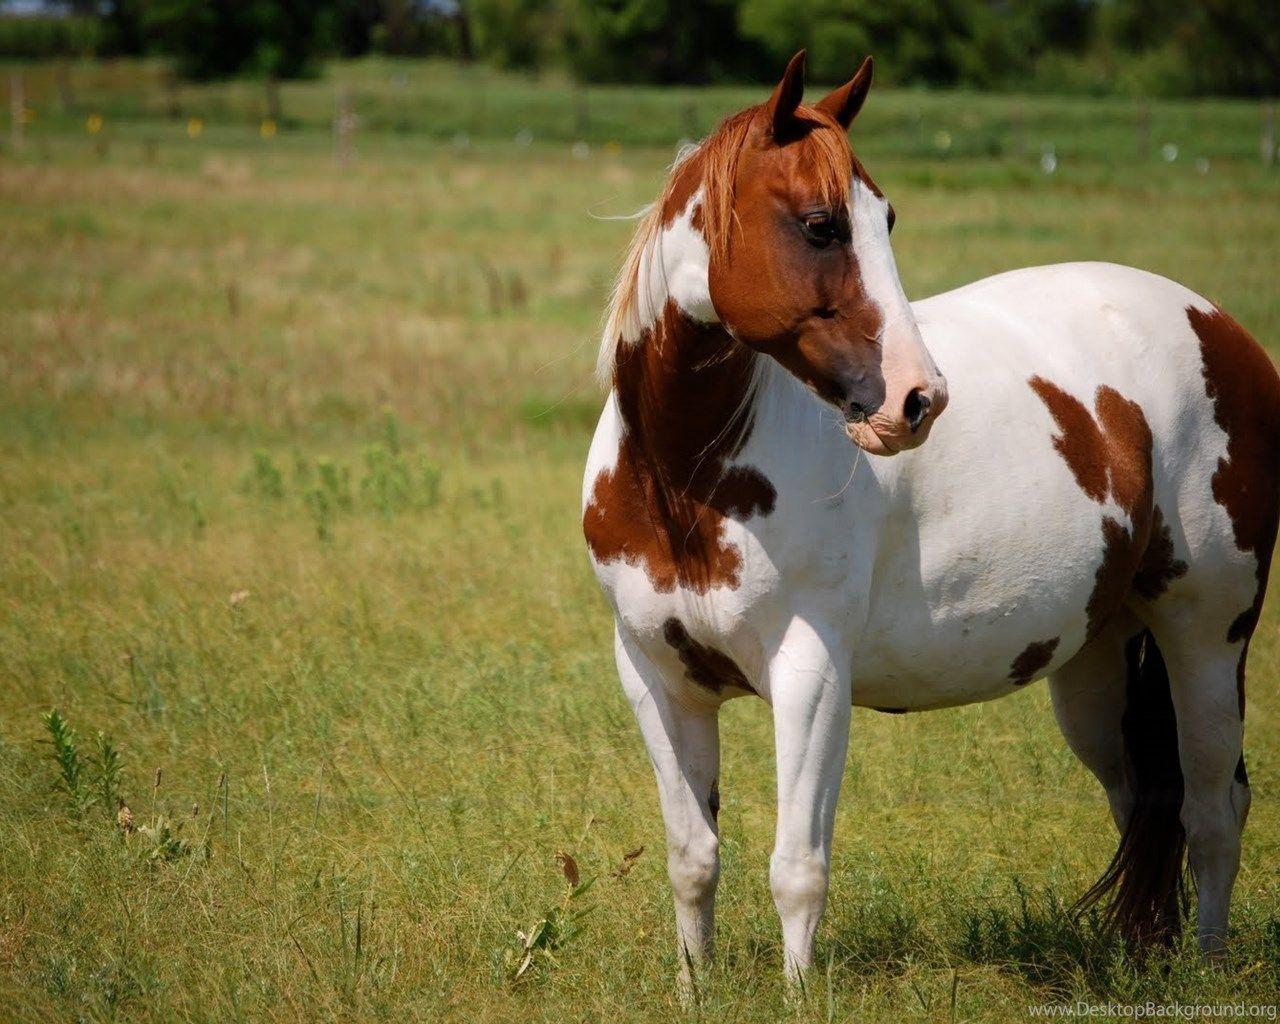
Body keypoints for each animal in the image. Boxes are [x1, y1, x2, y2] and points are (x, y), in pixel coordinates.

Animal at [581, 50, 1280, 988]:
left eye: (887, 219)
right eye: (820, 225)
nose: (918, 399)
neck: (684, 478)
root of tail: (1223, 328)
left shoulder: (810, 674)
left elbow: (797, 867)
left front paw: (800, 997)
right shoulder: (657, 677)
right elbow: (693, 859)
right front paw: (696, 992)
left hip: (1206, 635)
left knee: (1213, 807)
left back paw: (1204, 966)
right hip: (1098, 665)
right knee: (1145, 799)